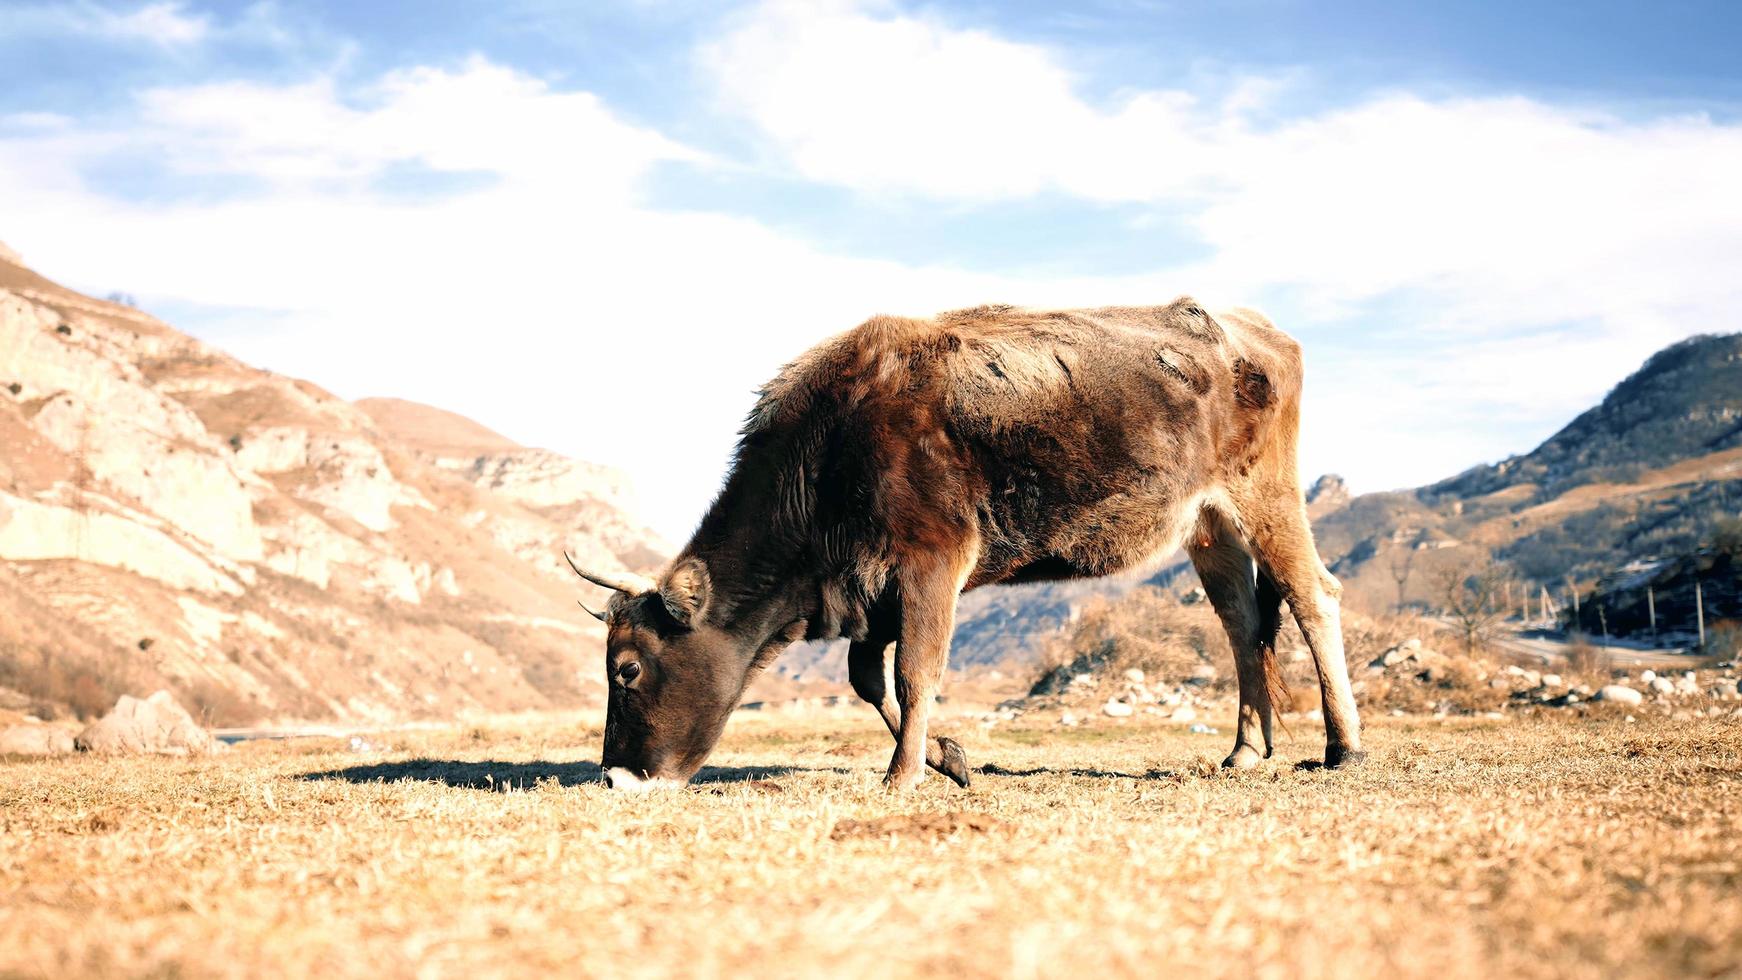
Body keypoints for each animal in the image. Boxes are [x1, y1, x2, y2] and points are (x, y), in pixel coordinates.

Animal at [567, 297, 1358, 790]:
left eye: (628, 670)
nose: (615, 775)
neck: (831, 445)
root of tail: (1251, 326)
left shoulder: (931, 560)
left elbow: (914, 673)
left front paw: (903, 774)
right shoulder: (870, 591)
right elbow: (868, 680)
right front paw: (948, 757)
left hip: (1266, 497)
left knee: (1312, 595)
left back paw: (1341, 746)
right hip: (1209, 526)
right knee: (1244, 623)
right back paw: (1246, 751)